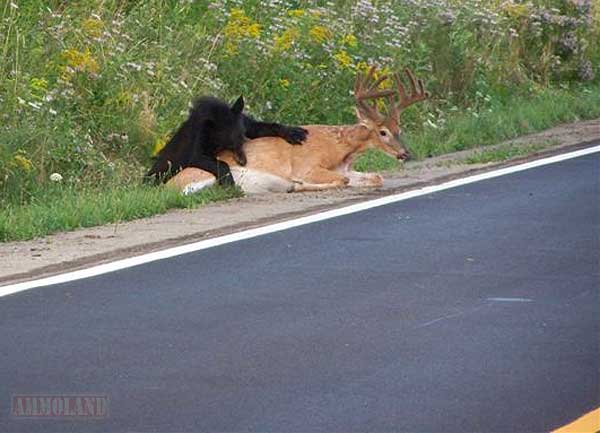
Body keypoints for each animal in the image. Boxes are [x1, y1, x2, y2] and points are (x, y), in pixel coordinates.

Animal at [166, 66, 428, 194]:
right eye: (383, 132)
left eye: (399, 128)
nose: (405, 153)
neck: (341, 148)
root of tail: (169, 186)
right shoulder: (308, 165)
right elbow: (341, 179)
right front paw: (300, 183)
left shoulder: (346, 168)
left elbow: (376, 177)